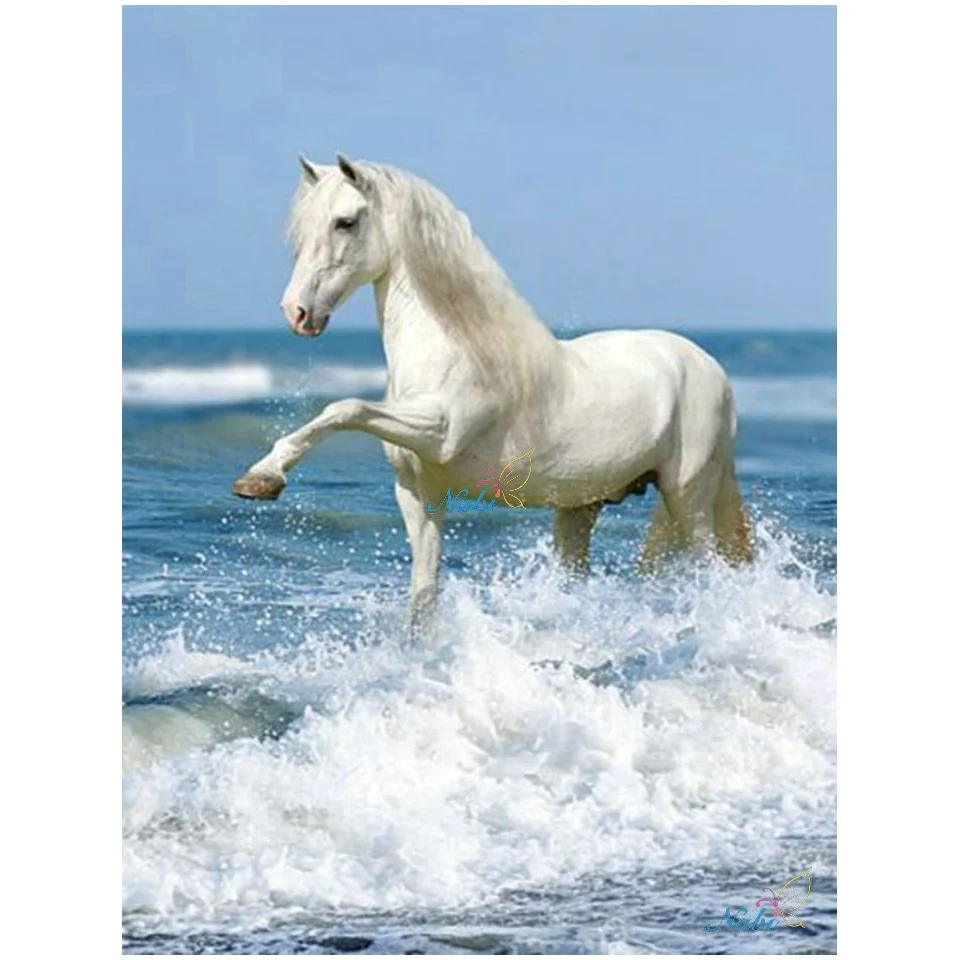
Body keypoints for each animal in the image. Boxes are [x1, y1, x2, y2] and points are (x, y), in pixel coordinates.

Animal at [233, 154, 754, 635]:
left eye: (346, 221)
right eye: (301, 228)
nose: (297, 312)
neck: (451, 345)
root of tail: (711, 370)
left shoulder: (439, 431)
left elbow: (345, 406)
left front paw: (263, 477)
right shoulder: (419, 494)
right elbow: (424, 597)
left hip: (687, 498)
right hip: (579, 507)